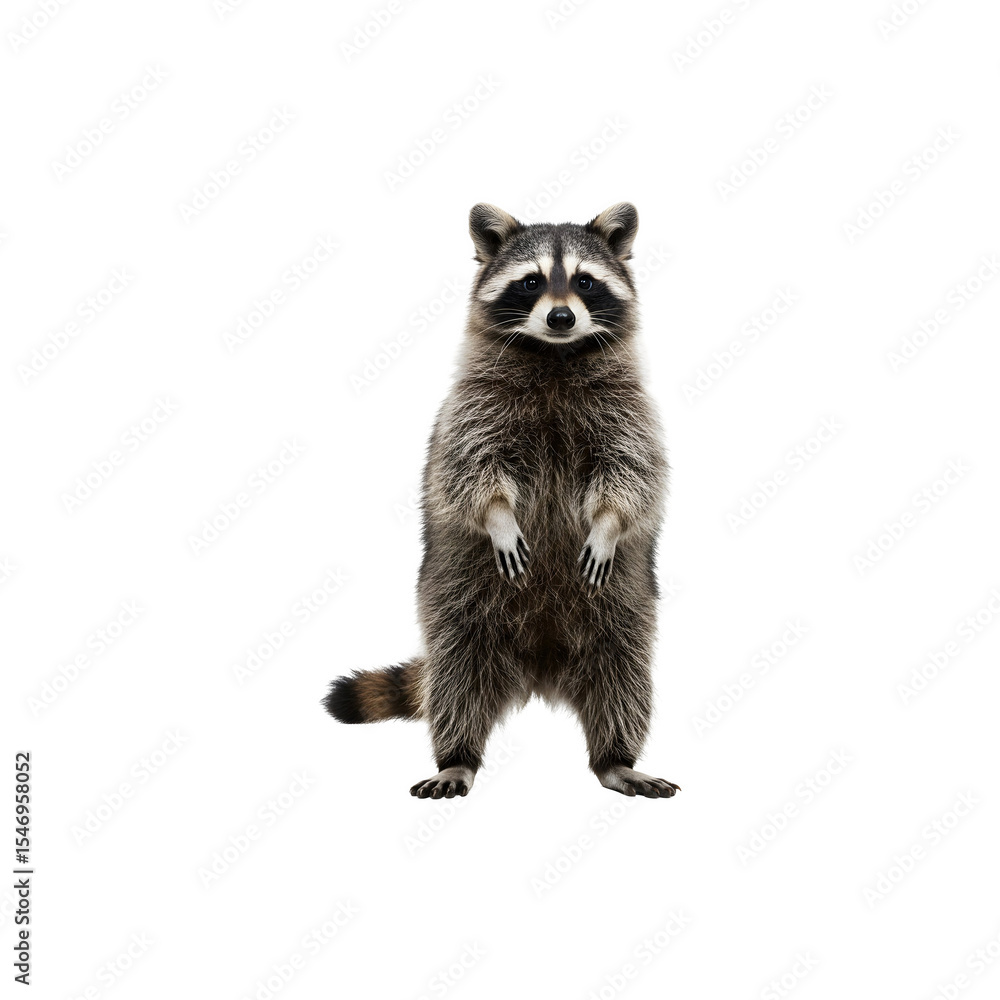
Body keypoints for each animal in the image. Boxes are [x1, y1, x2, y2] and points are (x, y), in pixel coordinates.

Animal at [323, 202, 680, 800]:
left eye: (585, 281)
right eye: (531, 281)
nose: (560, 318)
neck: (555, 355)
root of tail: (539, 669)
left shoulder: (630, 410)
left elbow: (631, 474)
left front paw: (607, 524)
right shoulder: (470, 407)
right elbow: (471, 471)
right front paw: (498, 518)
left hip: (626, 602)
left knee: (622, 671)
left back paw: (616, 756)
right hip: (455, 596)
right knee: (456, 676)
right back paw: (457, 756)